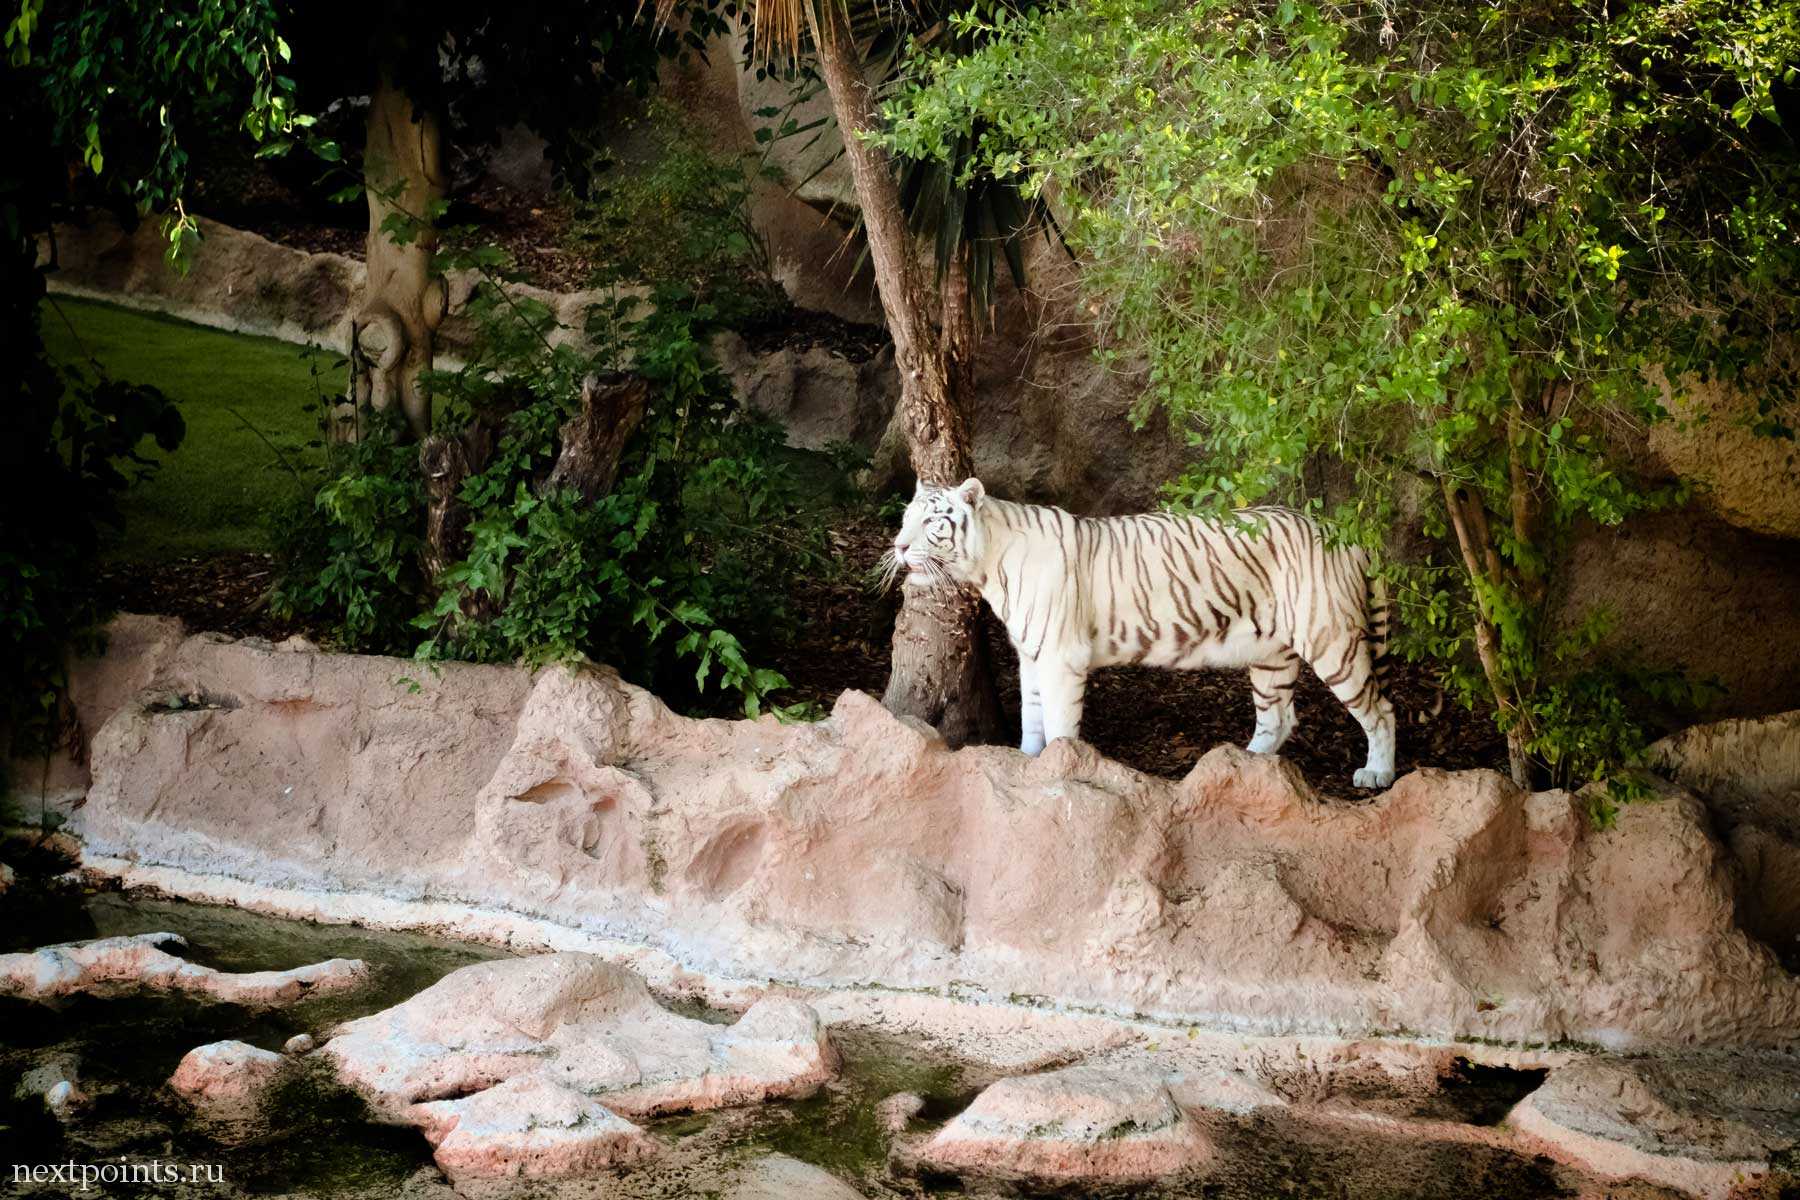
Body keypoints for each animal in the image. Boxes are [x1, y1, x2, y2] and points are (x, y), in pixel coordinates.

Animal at [883, 478, 1399, 789]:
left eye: (931, 521)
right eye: (906, 518)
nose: (899, 546)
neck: (989, 567)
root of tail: (1347, 533)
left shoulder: (1061, 657)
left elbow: (1059, 724)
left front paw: (1058, 769)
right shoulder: (1031, 655)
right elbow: (1032, 717)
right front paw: (1026, 762)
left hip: (1330, 639)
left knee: (1381, 710)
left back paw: (1376, 773)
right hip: (1271, 652)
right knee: (1280, 717)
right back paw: (1239, 769)